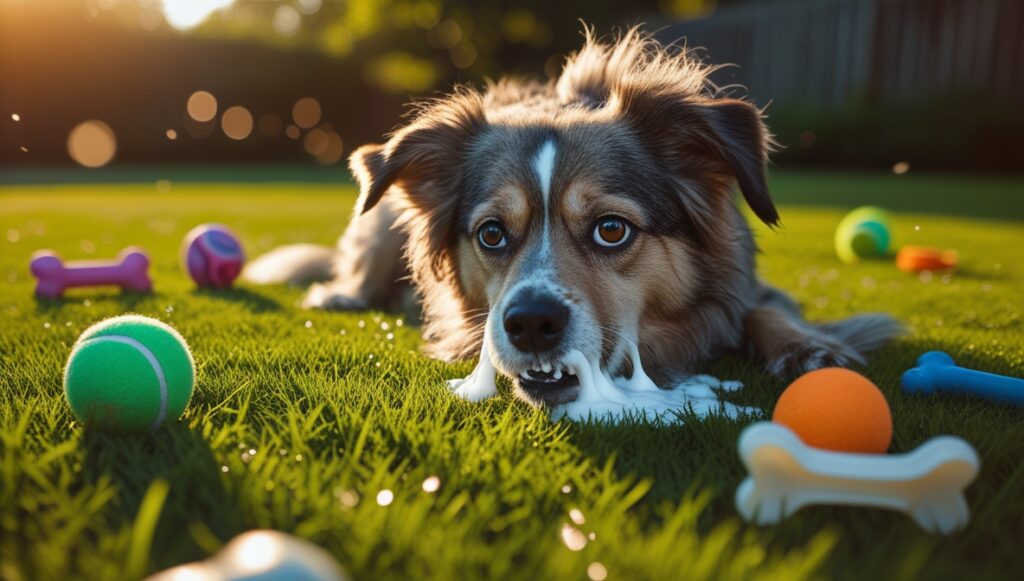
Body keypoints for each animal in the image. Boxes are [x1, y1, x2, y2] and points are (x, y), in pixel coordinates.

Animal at [243, 29, 901, 407]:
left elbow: (763, 310)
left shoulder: (748, 284)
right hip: (379, 222)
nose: (531, 325)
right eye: (492, 234)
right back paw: (341, 295)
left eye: (612, 229)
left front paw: (808, 348)